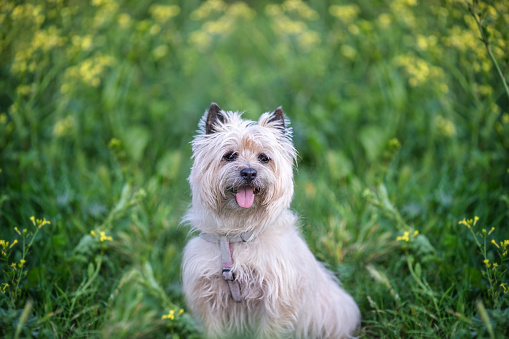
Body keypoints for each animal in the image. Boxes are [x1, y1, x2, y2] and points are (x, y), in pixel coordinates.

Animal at [181, 104, 360, 339]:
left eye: (264, 158)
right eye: (229, 156)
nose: (249, 172)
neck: (238, 234)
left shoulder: (275, 302)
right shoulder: (209, 301)